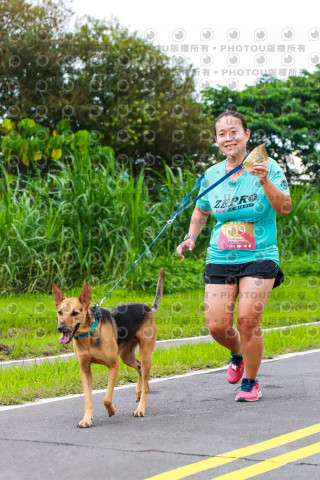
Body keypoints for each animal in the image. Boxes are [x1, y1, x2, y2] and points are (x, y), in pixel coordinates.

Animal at [52, 268, 165, 430]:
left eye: (75, 313)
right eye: (60, 312)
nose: (60, 328)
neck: (88, 334)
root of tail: (149, 309)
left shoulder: (113, 365)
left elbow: (106, 398)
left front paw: (111, 409)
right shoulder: (85, 370)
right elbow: (87, 399)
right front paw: (87, 419)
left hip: (145, 354)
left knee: (146, 382)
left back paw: (140, 408)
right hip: (126, 356)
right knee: (139, 368)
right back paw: (138, 391)